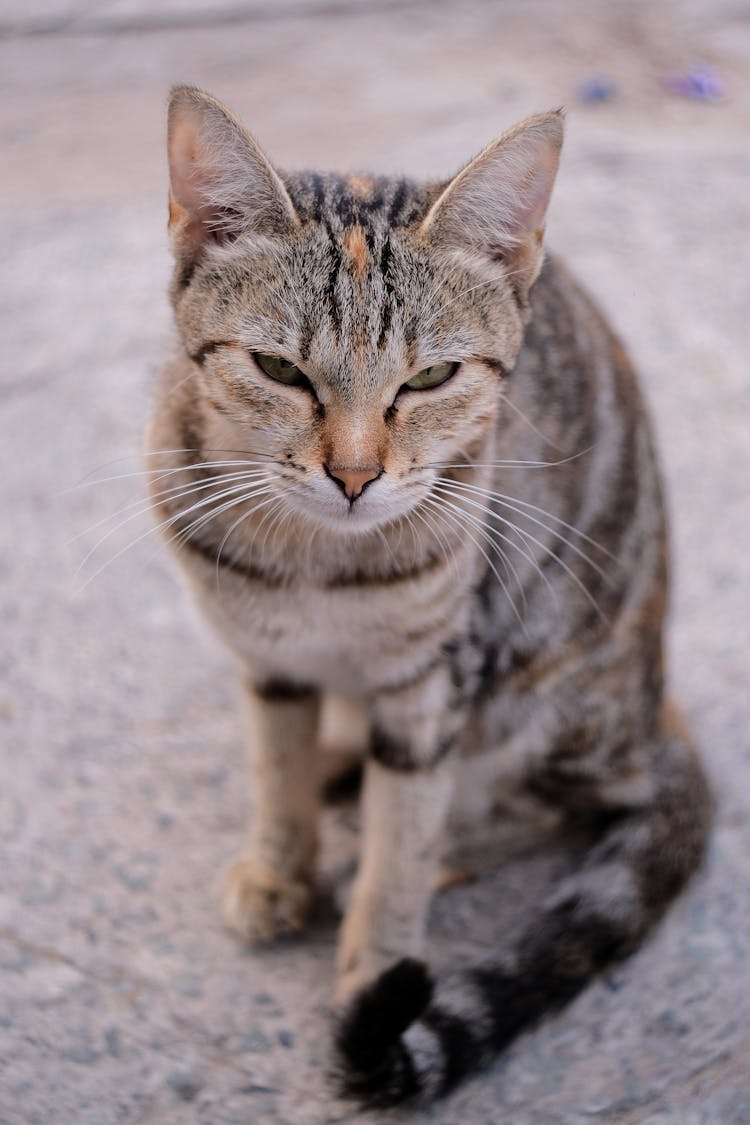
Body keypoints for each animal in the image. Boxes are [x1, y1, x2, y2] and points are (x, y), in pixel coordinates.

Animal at [145, 87, 710, 1107]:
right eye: (280, 369)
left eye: (432, 376)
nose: (355, 475)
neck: (317, 565)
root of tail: (656, 715)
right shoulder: (268, 657)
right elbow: (274, 768)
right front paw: (281, 862)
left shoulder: (437, 679)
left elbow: (400, 844)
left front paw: (374, 965)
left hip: (541, 690)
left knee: (538, 804)